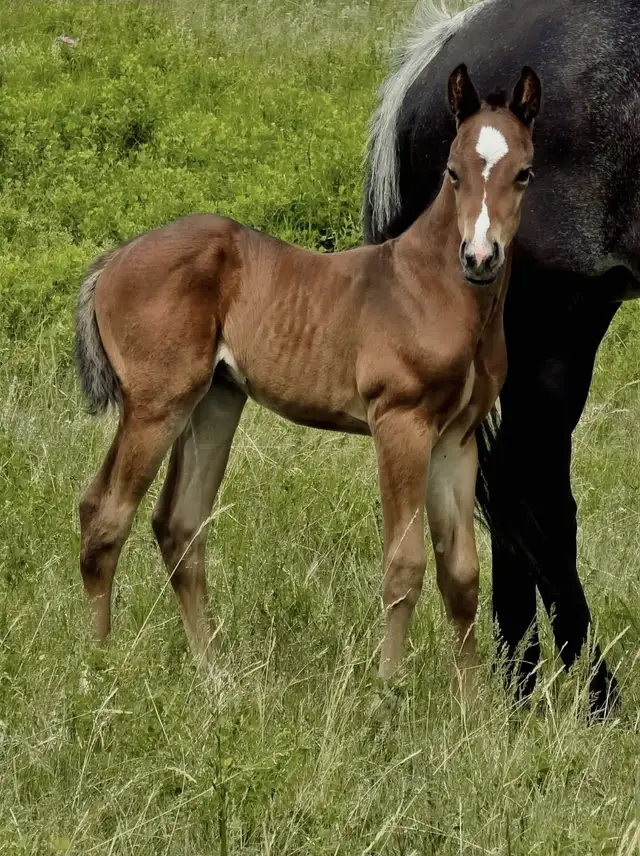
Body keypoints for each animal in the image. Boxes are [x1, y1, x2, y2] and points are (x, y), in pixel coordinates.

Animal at [75, 65, 540, 686]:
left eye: (523, 173)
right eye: (453, 171)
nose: (480, 257)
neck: (435, 289)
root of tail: (112, 262)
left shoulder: (457, 439)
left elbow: (462, 575)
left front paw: (471, 703)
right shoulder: (401, 422)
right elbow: (404, 564)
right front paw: (387, 688)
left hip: (214, 401)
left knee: (177, 524)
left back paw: (213, 672)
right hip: (157, 403)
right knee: (106, 515)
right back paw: (99, 667)